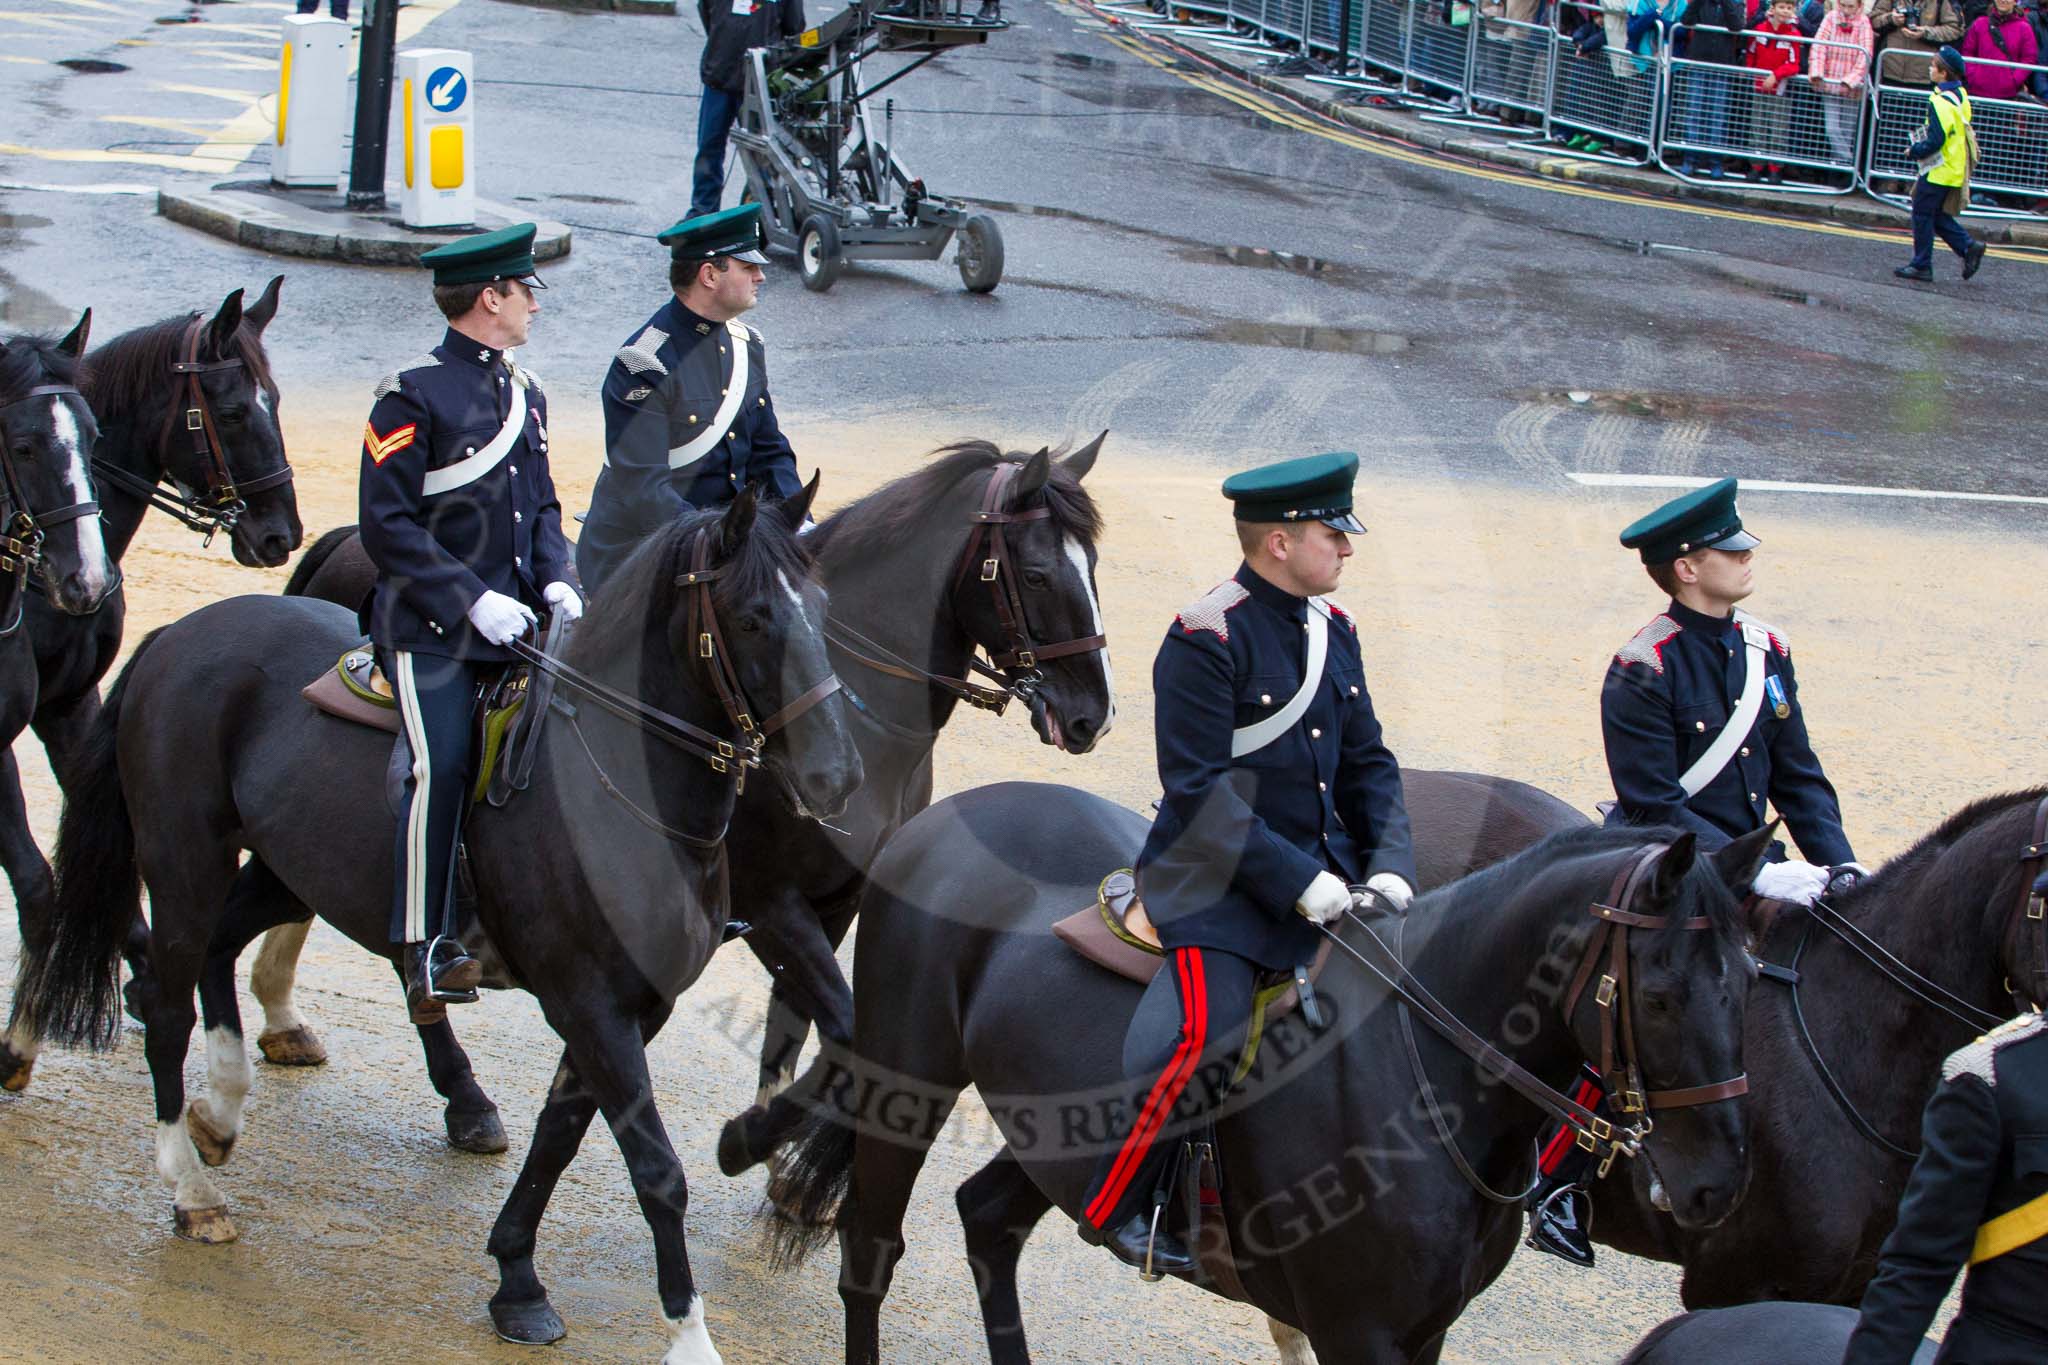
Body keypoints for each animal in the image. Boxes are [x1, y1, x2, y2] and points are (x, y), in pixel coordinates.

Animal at [0, 278, 299, 1088]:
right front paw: (26, 1031)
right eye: (233, 411)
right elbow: (37, 882)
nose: (281, 535)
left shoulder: (72, 709)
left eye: (276, 401)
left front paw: (136, 978)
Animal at [9, 489, 856, 1358]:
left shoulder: (631, 1009)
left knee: (212, 958)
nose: (839, 776)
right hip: (185, 865)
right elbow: (657, 1170)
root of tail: (179, 633)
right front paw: (688, 1332)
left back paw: (224, 1104)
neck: (626, 787)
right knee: (167, 1009)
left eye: (824, 609)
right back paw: (190, 1184)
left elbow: (559, 1136)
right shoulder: (591, 1004)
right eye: (751, 617)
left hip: (287, 872)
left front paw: (517, 1276)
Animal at [241, 439, 1122, 1162]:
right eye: (1037, 573)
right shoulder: (772, 901)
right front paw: (754, 1140)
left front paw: (772, 1146)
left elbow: (800, 1030)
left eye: (1093, 569)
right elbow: (839, 1026)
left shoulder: (836, 900)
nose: (1092, 715)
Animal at [761, 785, 1769, 1358]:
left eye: (1753, 978)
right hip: (907, 1077)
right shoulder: (1358, 1332)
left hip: (1067, 1145)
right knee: (870, 1249)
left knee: (987, 1219)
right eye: (1664, 993)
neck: (1435, 1078)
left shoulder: (1423, 1331)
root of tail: (932, 821)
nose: (1719, 1187)